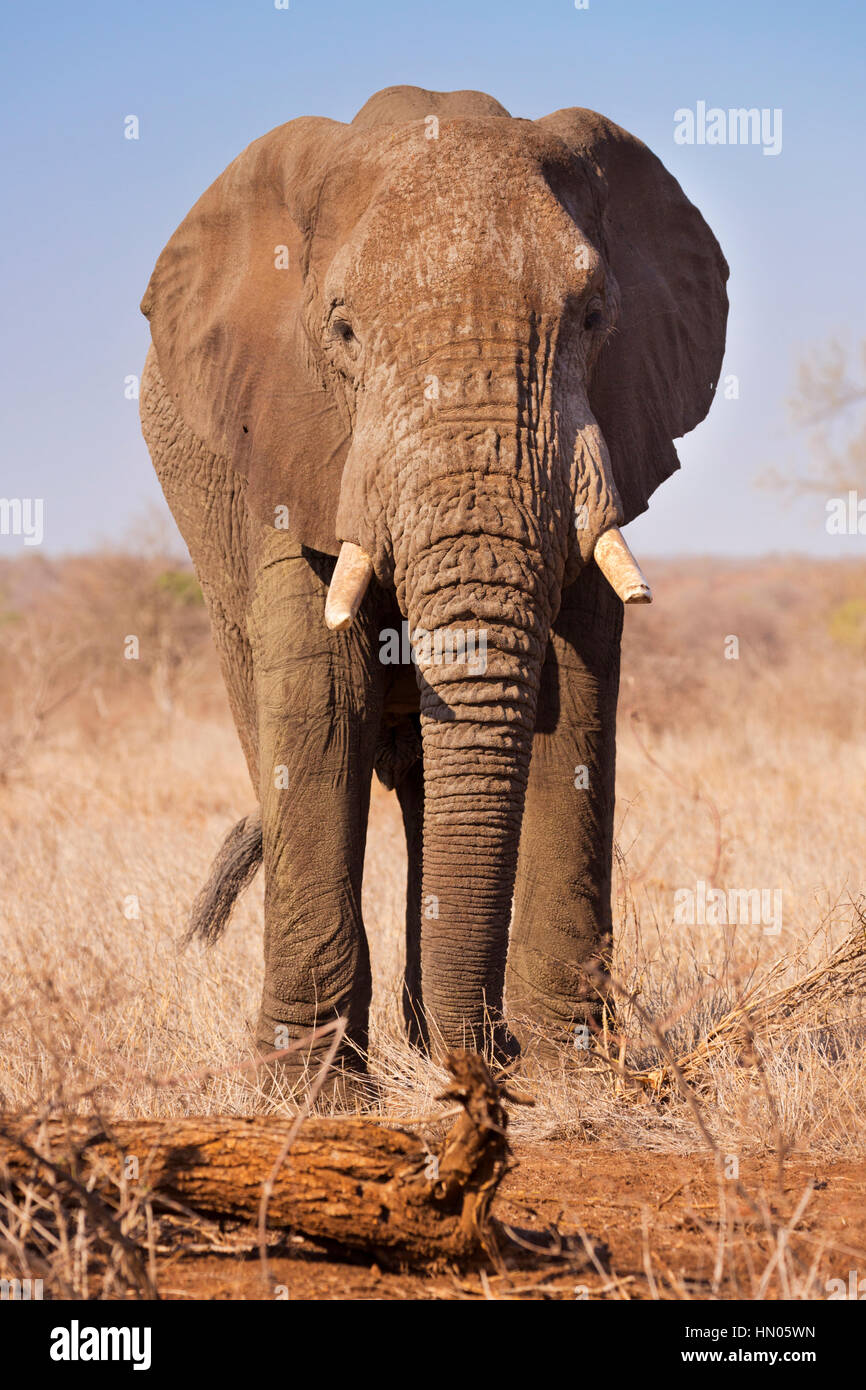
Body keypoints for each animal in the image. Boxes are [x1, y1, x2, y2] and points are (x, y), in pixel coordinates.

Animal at [139, 81, 728, 1089]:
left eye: (594, 319)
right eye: (342, 330)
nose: (492, 1057)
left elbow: (576, 692)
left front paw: (568, 1072)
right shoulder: (288, 438)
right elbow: (323, 696)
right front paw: (312, 1097)